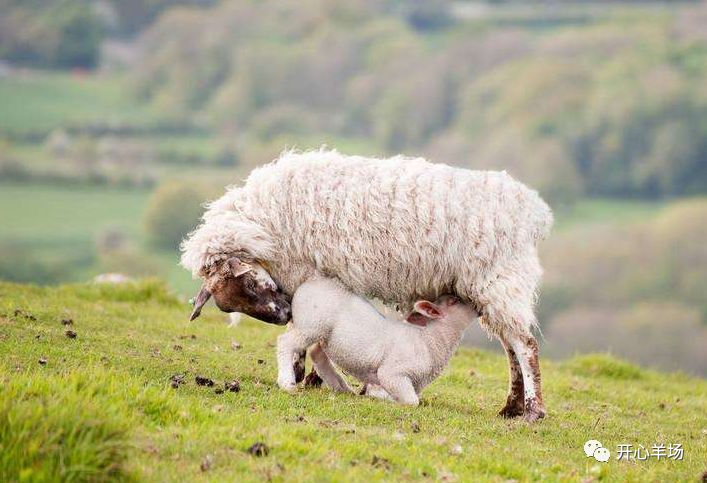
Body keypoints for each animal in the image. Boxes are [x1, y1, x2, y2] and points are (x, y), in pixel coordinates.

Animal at [276, 276, 476, 404]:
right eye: (454, 301)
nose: (475, 304)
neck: (430, 341)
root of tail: (308, 283)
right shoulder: (392, 373)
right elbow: (412, 401)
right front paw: (377, 395)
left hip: (322, 334)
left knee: (317, 353)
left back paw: (342, 387)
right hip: (311, 325)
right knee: (286, 343)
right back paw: (287, 382)